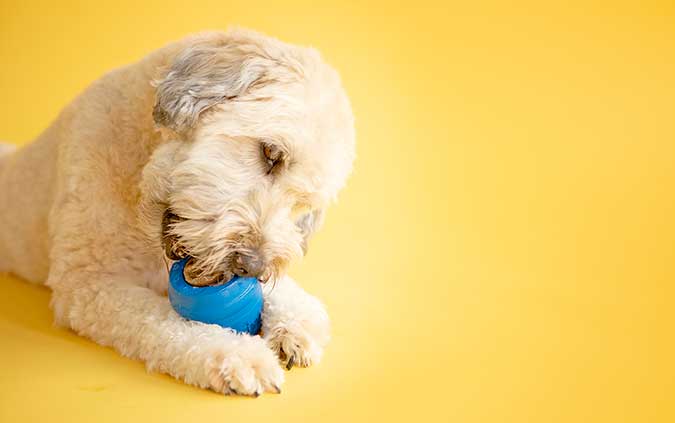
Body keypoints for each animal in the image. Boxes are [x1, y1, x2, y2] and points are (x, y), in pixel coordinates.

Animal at [0, 28, 356, 396]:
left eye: (301, 205)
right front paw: (237, 354)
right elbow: (165, 321)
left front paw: (295, 321)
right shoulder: (88, 284)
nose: (253, 267)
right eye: (271, 154)